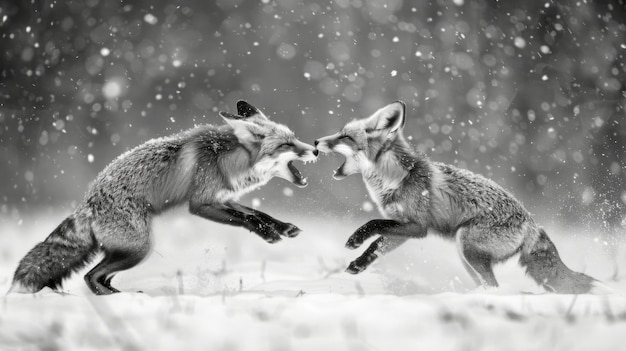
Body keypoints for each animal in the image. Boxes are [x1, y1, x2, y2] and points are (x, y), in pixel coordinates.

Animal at [11, 100, 316, 296]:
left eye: (294, 138)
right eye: (286, 145)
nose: (315, 149)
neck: (226, 159)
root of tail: (87, 204)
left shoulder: (223, 198)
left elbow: (256, 214)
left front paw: (281, 228)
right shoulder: (201, 204)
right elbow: (245, 219)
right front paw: (269, 234)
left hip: (130, 250)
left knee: (98, 275)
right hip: (140, 248)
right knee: (90, 276)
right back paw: (117, 299)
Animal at [314, 101, 604, 294]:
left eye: (345, 137)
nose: (316, 142)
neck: (397, 177)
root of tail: (533, 223)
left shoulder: (417, 227)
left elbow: (373, 224)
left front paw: (355, 239)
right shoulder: (402, 228)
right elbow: (377, 246)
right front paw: (358, 264)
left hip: (466, 246)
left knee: (494, 286)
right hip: (465, 257)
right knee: (489, 285)